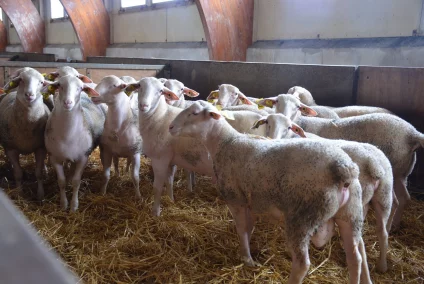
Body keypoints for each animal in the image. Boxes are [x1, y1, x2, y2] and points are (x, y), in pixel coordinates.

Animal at [0, 67, 50, 200]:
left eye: (41, 82)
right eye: (21, 80)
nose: (29, 95)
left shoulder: (40, 147)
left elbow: (38, 173)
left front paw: (40, 195)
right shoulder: (11, 149)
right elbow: (18, 173)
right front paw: (19, 193)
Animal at [43, 74, 106, 212]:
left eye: (80, 88)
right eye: (59, 85)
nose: (68, 103)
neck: (67, 134)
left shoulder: (83, 157)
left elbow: (76, 182)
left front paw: (73, 206)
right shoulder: (54, 157)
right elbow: (61, 181)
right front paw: (63, 204)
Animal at [124, 77, 214, 215]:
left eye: (161, 90)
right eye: (139, 86)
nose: (144, 105)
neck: (160, 116)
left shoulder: (160, 159)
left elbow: (157, 187)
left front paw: (155, 213)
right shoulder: (171, 160)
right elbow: (170, 181)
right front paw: (171, 200)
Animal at [169, 102, 372, 284]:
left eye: (194, 113)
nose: (170, 127)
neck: (225, 142)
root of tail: (343, 168)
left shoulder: (235, 199)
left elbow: (241, 228)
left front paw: (247, 259)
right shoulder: (250, 202)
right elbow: (248, 228)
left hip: (303, 218)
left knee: (303, 264)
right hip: (351, 213)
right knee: (356, 257)